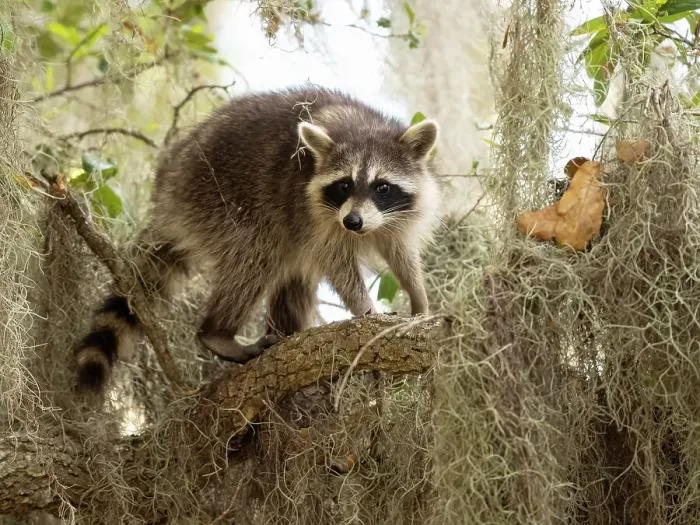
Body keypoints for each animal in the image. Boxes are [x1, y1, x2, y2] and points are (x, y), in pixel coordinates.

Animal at [74, 86, 441, 393]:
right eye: (344, 186)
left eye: (382, 187)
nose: (352, 222)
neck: (362, 126)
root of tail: (166, 192)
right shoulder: (310, 209)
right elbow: (335, 262)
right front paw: (366, 309)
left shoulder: (394, 217)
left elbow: (400, 251)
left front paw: (418, 296)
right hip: (215, 198)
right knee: (255, 257)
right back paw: (217, 332)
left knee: (294, 278)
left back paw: (286, 337)